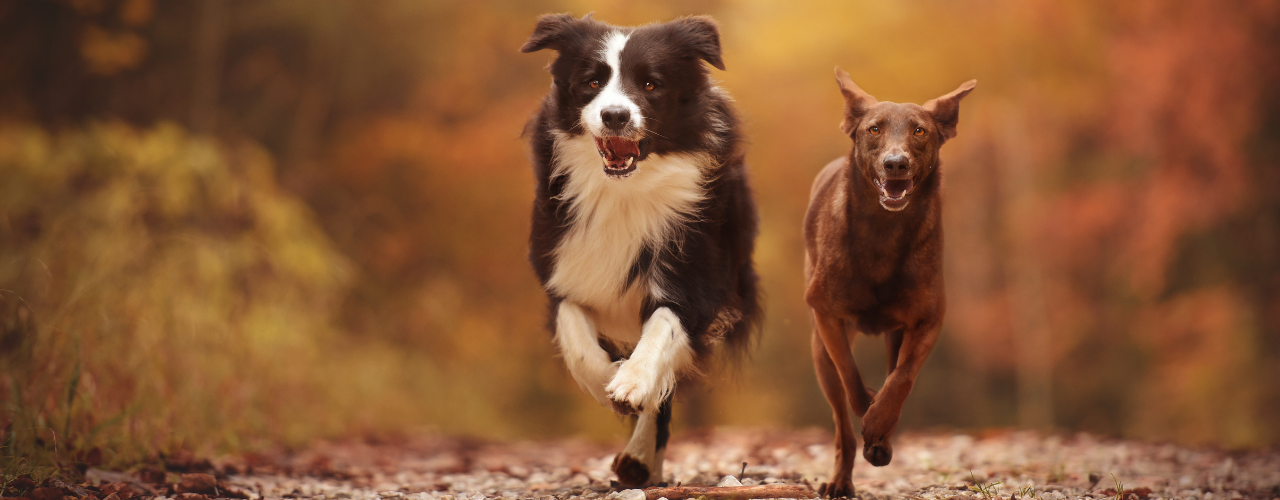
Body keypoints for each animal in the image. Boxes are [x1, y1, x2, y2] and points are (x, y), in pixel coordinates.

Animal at [803, 68, 972, 498]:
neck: (884, 228)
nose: (896, 164)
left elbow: (903, 377)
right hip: (818, 351)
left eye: (920, 131)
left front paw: (879, 423)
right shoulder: (826, 314)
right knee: (841, 425)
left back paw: (880, 441)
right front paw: (866, 408)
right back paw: (840, 479)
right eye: (874, 129)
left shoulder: (928, 318)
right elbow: (849, 373)